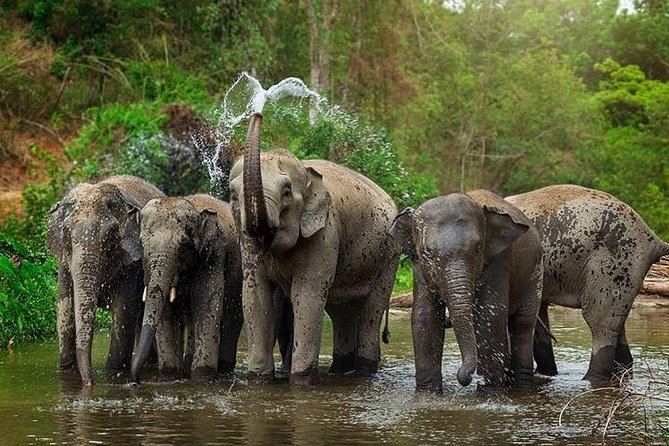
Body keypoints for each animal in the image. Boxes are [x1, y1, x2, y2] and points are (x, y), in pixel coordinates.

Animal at [47, 175, 165, 386]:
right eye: (66, 234)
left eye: (111, 235)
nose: (89, 383)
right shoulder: (64, 264)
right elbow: (64, 309)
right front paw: (67, 373)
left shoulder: (132, 263)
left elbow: (123, 311)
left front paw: (113, 373)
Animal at [129, 194, 243, 383]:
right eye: (142, 244)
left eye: (183, 246)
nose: (136, 381)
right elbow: (165, 313)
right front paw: (170, 375)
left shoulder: (213, 257)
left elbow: (206, 307)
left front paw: (202, 377)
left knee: (231, 317)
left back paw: (223, 368)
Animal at [228, 113, 399, 385]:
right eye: (234, 196)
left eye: (287, 193)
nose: (258, 113)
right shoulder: (245, 240)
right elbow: (256, 295)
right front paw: (259, 380)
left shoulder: (325, 234)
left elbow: (306, 295)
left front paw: (301, 382)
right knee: (341, 310)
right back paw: (341, 369)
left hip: (389, 255)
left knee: (372, 307)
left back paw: (363, 371)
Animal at [389, 190, 543, 393]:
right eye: (427, 253)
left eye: (478, 249)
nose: (468, 377)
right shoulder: (419, 268)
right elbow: (425, 316)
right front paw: (427, 393)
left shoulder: (498, 260)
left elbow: (489, 313)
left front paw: (490, 391)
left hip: (536, 274)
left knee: (523, 324)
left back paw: (521, 386)